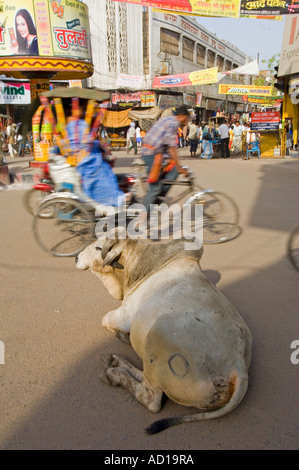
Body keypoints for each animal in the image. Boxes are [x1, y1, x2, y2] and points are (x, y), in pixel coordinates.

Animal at [77, 233, 253, 436]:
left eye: (99, 248)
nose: (76, 257)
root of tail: (238, 364)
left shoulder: (124, 316)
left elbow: (105, 319)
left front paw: (120, 336)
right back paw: (114, 361)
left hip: (158, 336)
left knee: (150, 398)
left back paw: (114, 373)